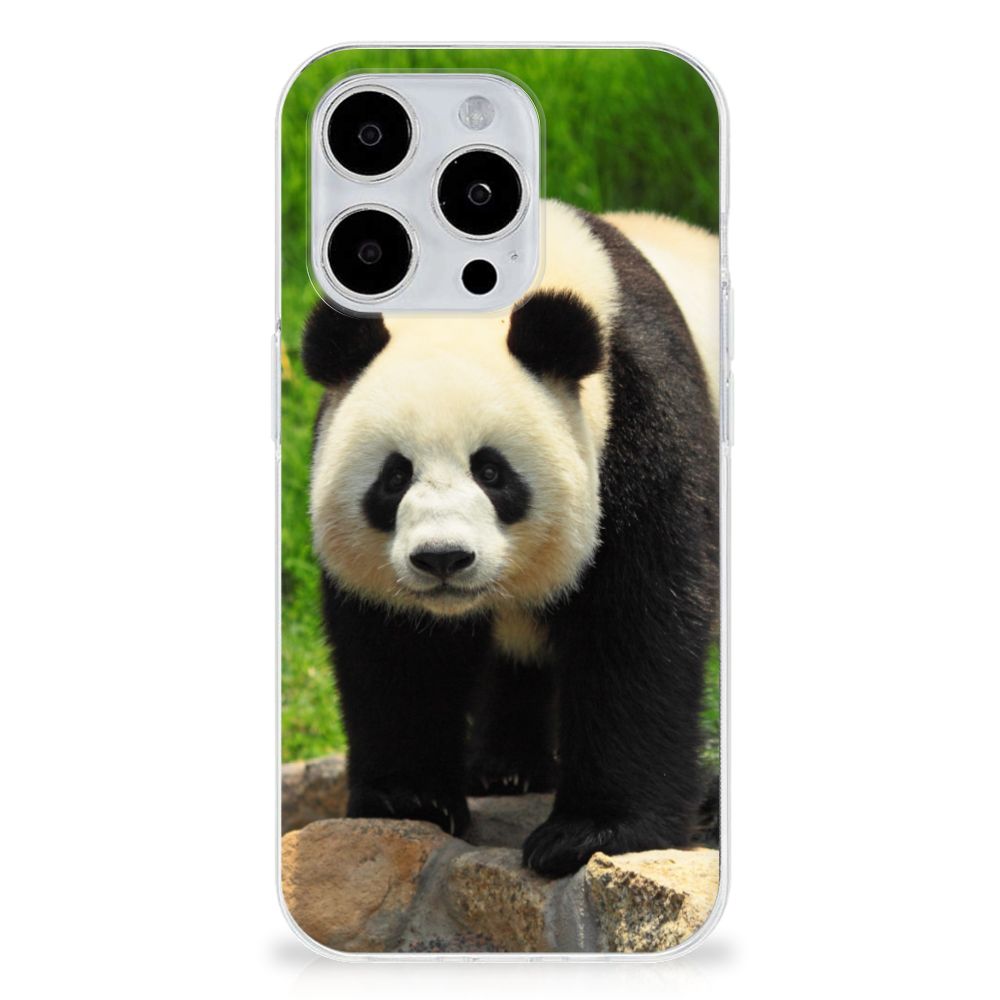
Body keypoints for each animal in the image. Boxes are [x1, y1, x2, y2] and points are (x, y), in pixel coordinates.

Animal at [301, 199, 719, 877]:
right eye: (394, 477)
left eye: (492, 472)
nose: (443, 559)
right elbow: (397, 648)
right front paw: (408, 799)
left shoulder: (642, 423)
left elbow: (637, 625)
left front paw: (592, 833)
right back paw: (505, 769)